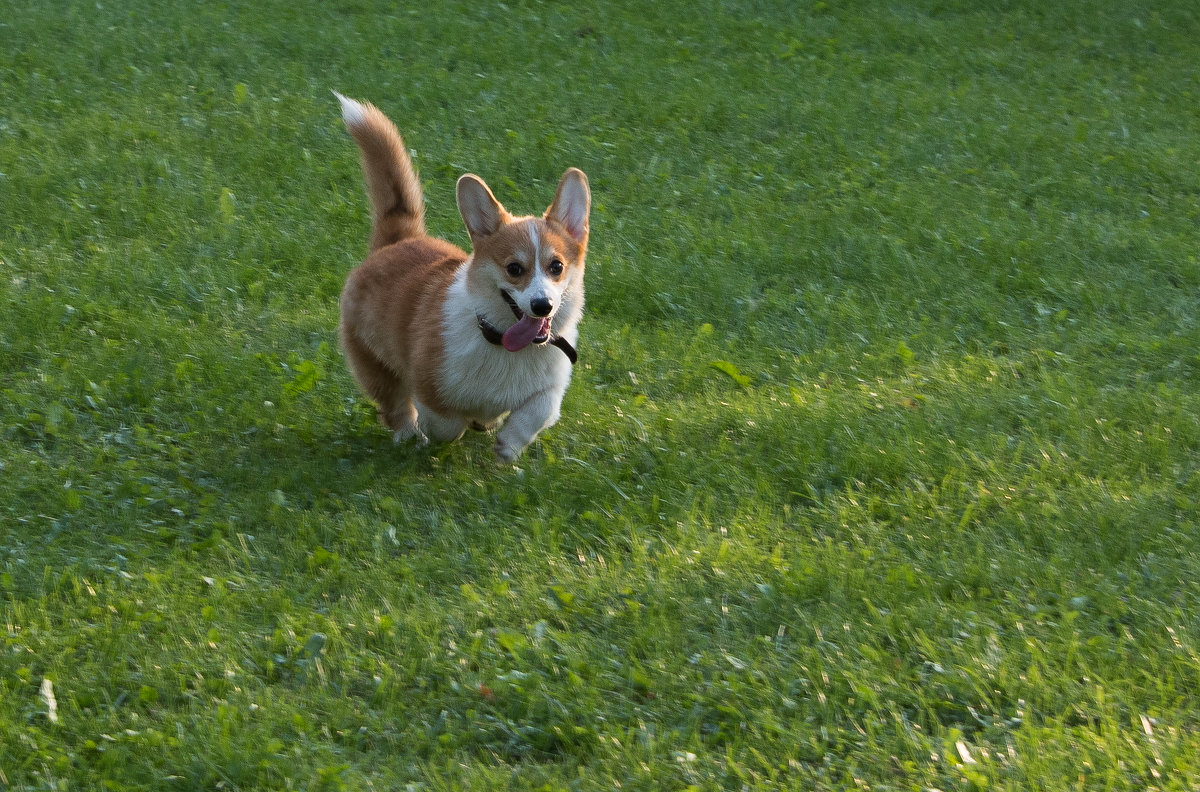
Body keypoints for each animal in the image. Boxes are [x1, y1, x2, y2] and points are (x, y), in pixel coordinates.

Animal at [333, 93, 590, 460]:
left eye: (556, 266)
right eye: (514, 269)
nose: (542, 306)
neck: (502, 343)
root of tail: (400, 238)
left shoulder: (550, 390)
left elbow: (536, 413)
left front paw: (507, 445)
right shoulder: (429, 385)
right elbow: (446, 424)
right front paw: (440, 431)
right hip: (375, 364)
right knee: (396, 407)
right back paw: (409, 435)